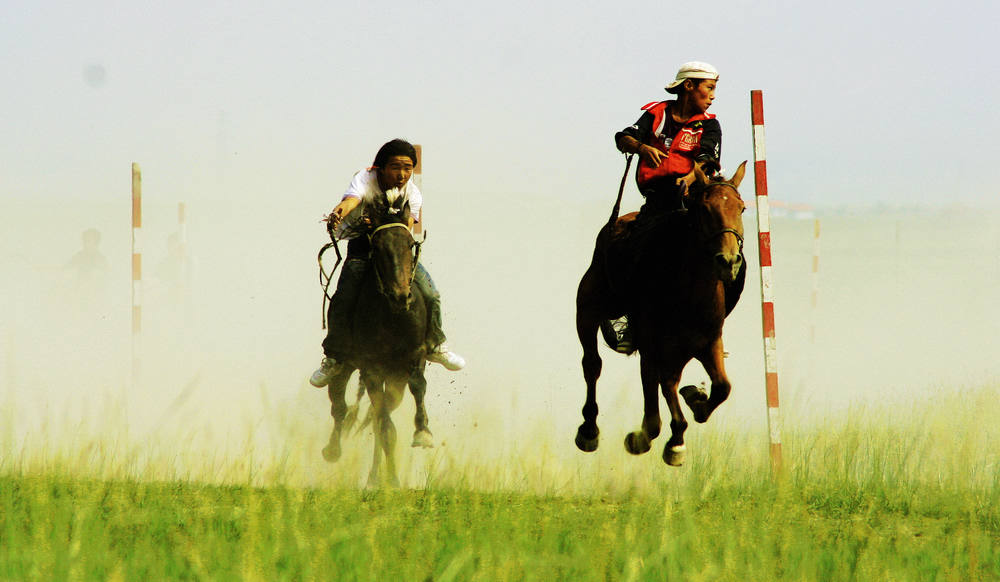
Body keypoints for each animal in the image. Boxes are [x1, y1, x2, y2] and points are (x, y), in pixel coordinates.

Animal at [576, 162, 748, 468]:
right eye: (705, 209)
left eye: (741, 208)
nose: (729, 261)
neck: (691, 291)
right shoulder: (659, 343)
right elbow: (666, 382)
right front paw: (676, 441)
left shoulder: (709, 342)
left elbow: (722, 387)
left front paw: (696, 401)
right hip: (587, 310)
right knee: (593, 364)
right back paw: (590, 430)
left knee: (650, 377)